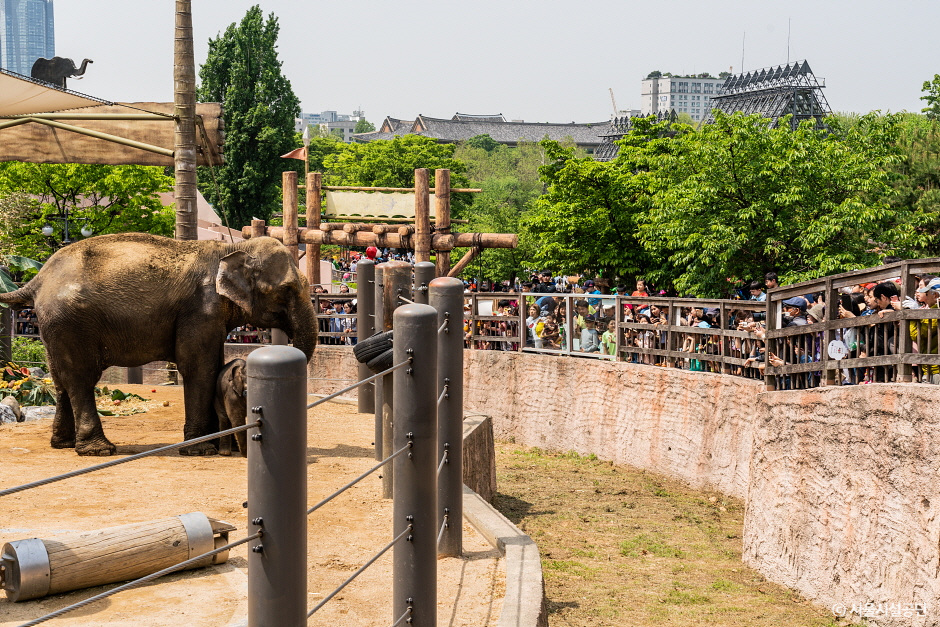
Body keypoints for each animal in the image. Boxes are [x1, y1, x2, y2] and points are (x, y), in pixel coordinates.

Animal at [0, 234, 318, 456]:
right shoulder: (200, 309)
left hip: (55, 327)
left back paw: (64, 444)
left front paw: (215, 445)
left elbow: (213, 362)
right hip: (71, 322)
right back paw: (99, 450)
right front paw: (201, 451)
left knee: (60, 379)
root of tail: (38, 279)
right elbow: (197, 366)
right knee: (81, 378)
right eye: (286, 290)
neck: (232, 247)